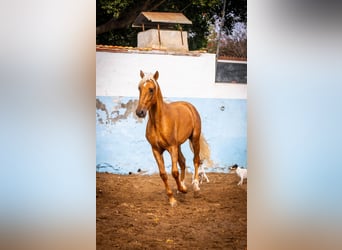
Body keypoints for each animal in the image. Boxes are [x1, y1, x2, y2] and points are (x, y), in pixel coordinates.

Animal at [136, 69, 204, 206]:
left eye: (151, 89)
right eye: (139, 88)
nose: (140, 112)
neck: (159, 122)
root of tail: (189, 106)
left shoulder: (172, 147)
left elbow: (174, 172)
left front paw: (183, 190)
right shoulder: (156, 150)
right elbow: (163, 174)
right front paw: (173, 198)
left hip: (194, 139)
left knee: (196, 160)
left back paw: (195, 187)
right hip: (179, 145)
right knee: (183, 162)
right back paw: (182, 186)